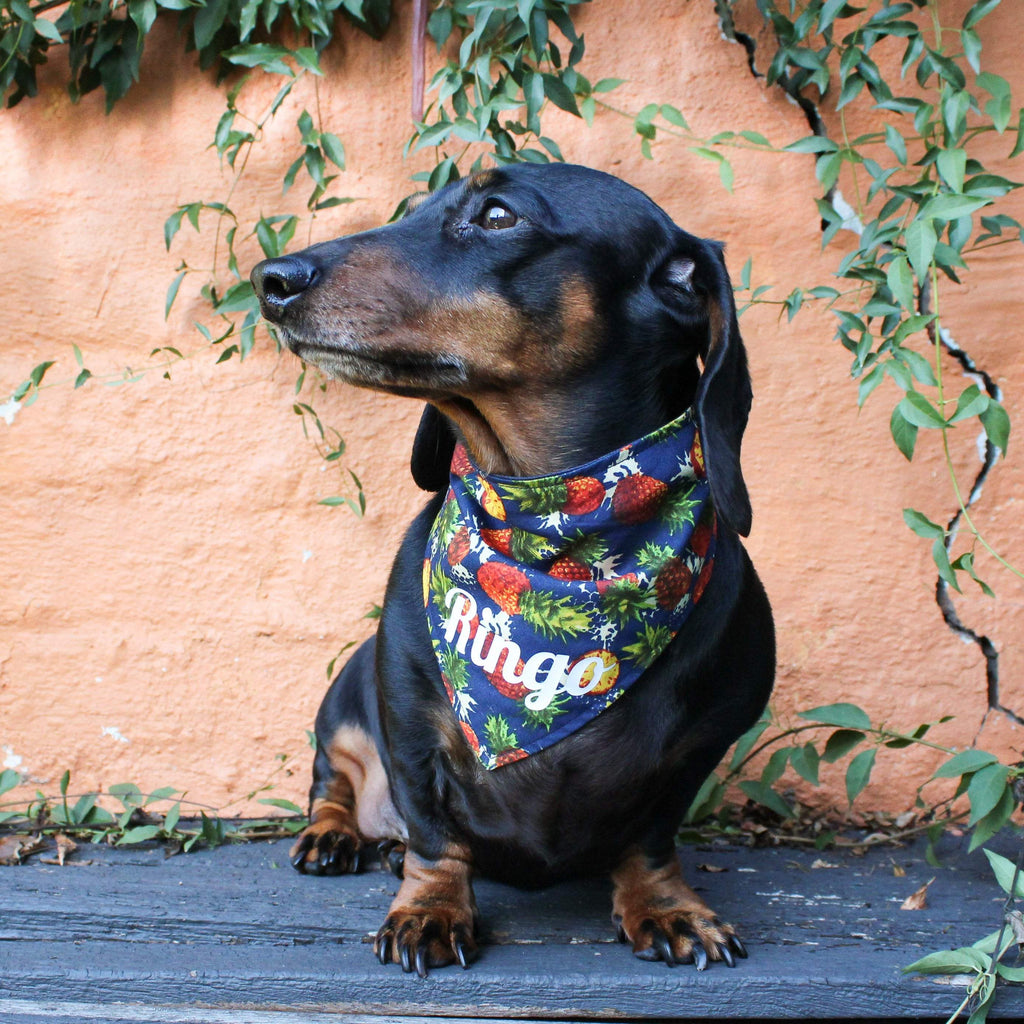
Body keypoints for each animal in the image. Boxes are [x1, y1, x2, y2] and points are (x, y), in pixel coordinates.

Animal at [249, 163, 774, 978]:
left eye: (498, 216)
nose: (270, 279)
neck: (560, 540)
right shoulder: (408, 725)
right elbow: (434, 835)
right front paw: (429, 910)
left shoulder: (702, 746)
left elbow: (652, 839)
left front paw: (668, 907)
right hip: (343, 699)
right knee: (333, 782)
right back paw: (333, 836)